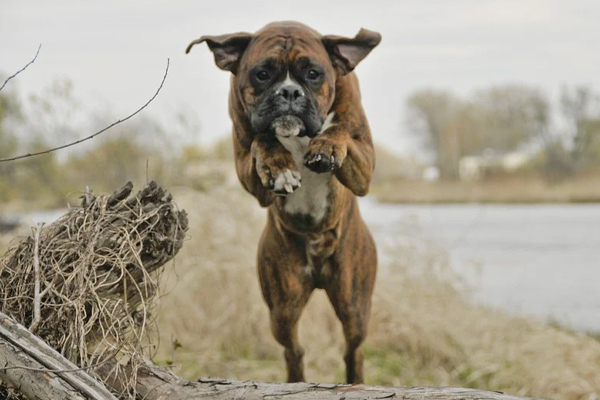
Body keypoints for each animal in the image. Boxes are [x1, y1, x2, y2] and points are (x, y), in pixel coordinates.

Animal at [186, 21, 380, 384]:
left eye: (313, 74)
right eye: (262, 74)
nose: (289, 93)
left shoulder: (364, 168)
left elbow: (340, 131)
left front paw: (326, 147)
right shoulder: (246, 170)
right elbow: (263, 139)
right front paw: (280, 166)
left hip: (354, 304)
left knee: (353, 349)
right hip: (282, 308)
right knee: (294, 350)